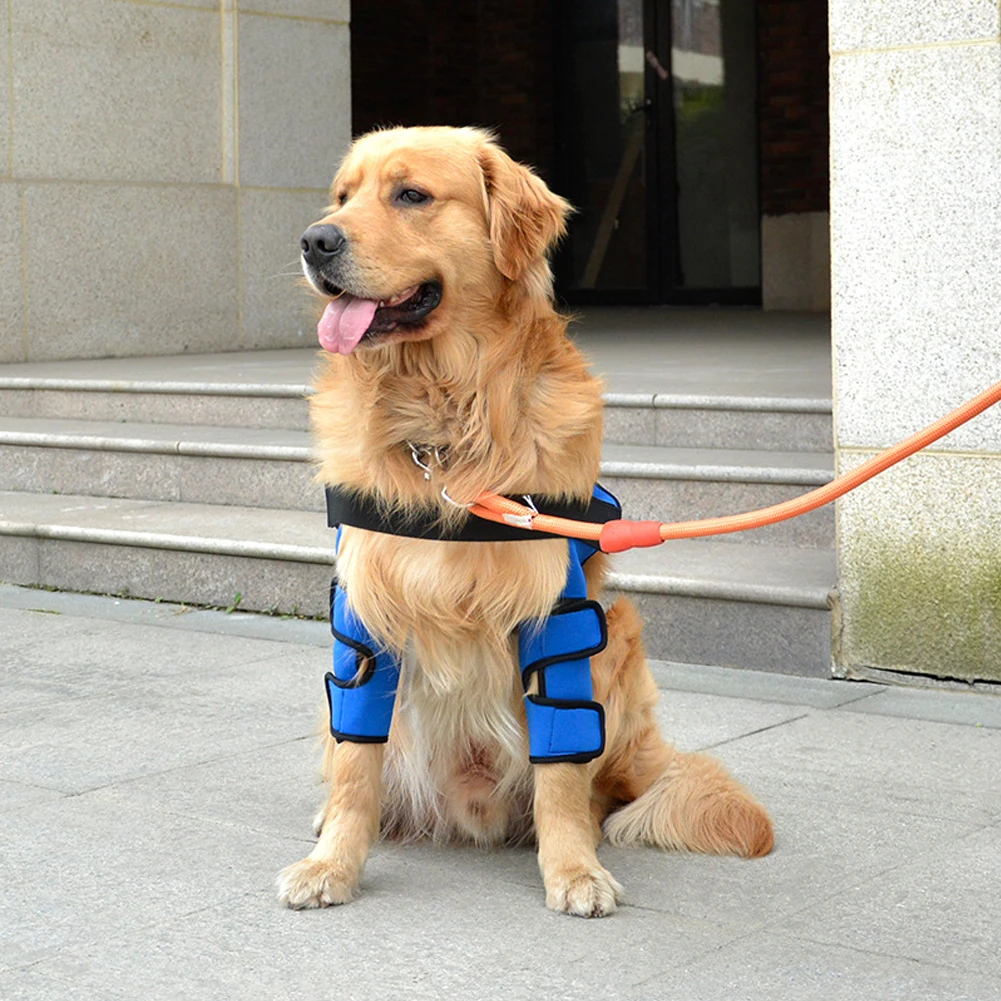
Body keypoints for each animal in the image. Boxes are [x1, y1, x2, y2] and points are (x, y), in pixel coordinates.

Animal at [276, 125, 772, 916]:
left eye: (410, 194)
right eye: (342, 197)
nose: (314, 240)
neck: (443, 425)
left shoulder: (554, 607)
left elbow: (559, 774)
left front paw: (571, 870)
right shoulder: (366, 606)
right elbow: (356, 765)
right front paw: (333, 866)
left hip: (617, 644)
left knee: (591, 788)